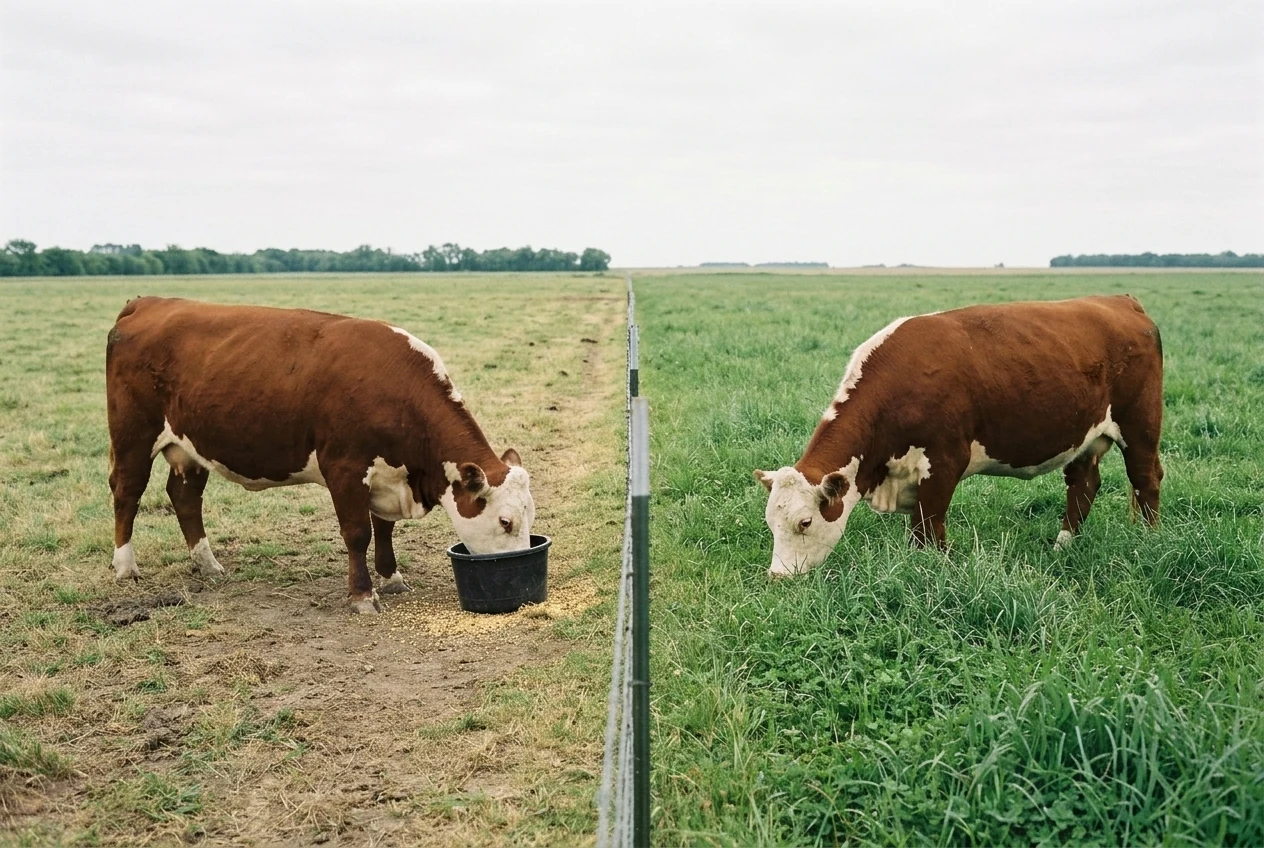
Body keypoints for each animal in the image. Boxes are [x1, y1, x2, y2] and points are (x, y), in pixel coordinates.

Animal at [105, 297, 535, 613]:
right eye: (505, 521)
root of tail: (148, 302)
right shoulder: (344, 468)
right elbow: (358, 533)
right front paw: (363, 596)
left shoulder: (386, 475)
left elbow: (384, 528)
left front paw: (392, 579)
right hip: (133, 436)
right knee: (127, 492)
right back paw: (125, 567)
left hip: (189, 447)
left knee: (184, 497)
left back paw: (207, 564)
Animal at [755, 295, 1163, 577]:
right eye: (770, 522)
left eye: (805, 522)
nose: (778, 577)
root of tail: (1119, 300)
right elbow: (919, 529)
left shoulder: (943, 462)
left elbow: (928, 529)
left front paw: (929, 571)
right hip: (1085, 438)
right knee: (1083, 483)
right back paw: (1063, 546)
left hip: (1140, 425)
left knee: (1146, 478)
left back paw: (1148, 541)